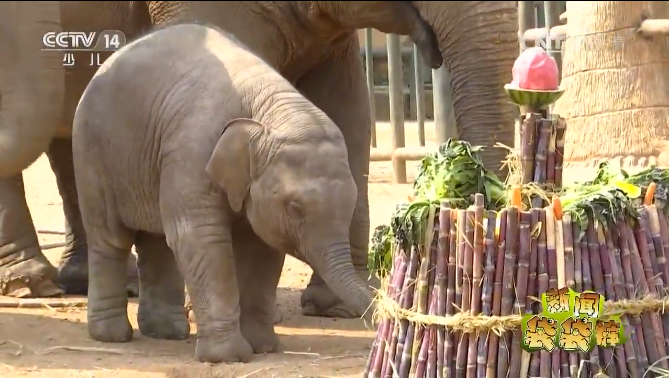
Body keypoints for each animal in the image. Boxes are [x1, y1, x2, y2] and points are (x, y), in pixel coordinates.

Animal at [73, 22, 376, 364]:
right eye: (295, 208)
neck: (270, 108)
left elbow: (262, 247)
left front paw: (264, 348)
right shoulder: (192, 152)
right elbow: (201, 237)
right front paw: (228, 356)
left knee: (157, 239)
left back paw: (167, 332)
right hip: (92, 153)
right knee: (110, 238)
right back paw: (112, 336)